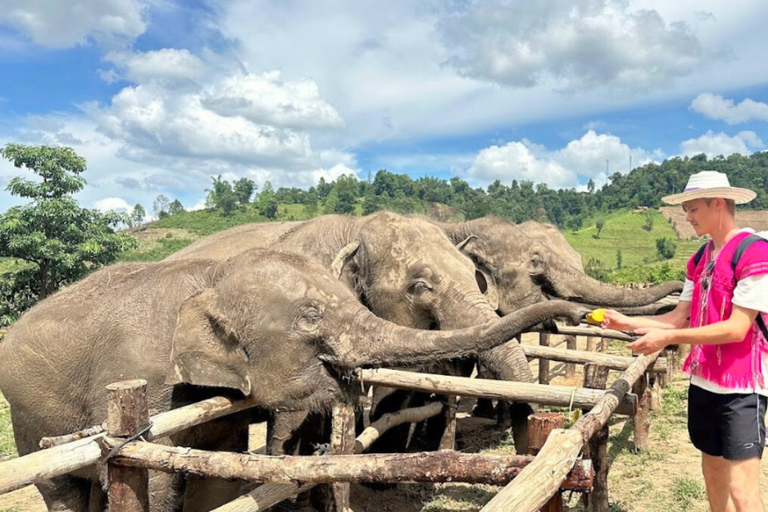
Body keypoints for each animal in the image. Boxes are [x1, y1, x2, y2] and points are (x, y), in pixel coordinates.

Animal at [0, 249, 585, 512]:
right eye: (310, 315)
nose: (574, 312)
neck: (211, 277)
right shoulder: (144, 378)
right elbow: (162, 480)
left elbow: (221, 470)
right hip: (29, 415)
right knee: (59, 487)